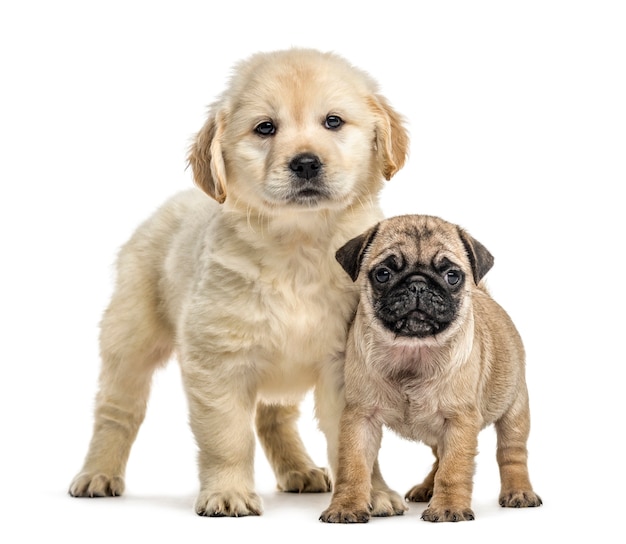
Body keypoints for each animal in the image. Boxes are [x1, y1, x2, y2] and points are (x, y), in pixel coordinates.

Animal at [69, 47, 410, 520]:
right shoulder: (218, 363)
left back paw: (299, 470)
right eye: (265, 128)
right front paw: (228, 492)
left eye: (333, 122)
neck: (298, 248)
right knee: (116, 411)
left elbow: (357, 441)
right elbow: (227, 437)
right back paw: (98, 474)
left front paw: (371, 492)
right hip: (130, 339)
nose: (306, 162)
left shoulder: (348, 364)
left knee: (274, 417)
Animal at [320, 214, 540, 524]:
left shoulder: (460, 422)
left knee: (512, 453)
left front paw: (448, 507)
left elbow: (454, 469)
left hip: (515, 408)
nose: (417, 284)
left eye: (452, 276)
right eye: (383, 274)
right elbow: (354, 466)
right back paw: (427, 488)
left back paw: (518, 491)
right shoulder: (360, 417)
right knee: (438, 457)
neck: (413, 351)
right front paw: (347, 506)